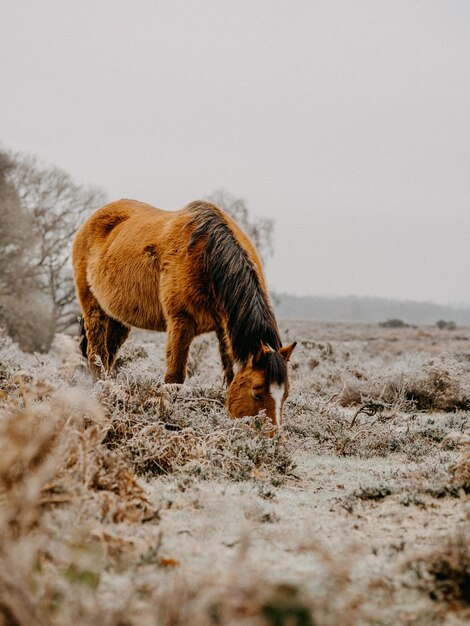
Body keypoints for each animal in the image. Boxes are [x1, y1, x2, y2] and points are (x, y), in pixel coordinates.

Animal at [71, 197, 296, 426]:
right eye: (257, 392)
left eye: (285, 394)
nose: (272, 433)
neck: (207, 257)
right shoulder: (181, 323)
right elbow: (175, 378)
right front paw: (167, 417)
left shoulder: (223, 328)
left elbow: (230, 374)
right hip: (93, 309)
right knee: (96, 356)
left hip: (118, 319)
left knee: (108, 356)